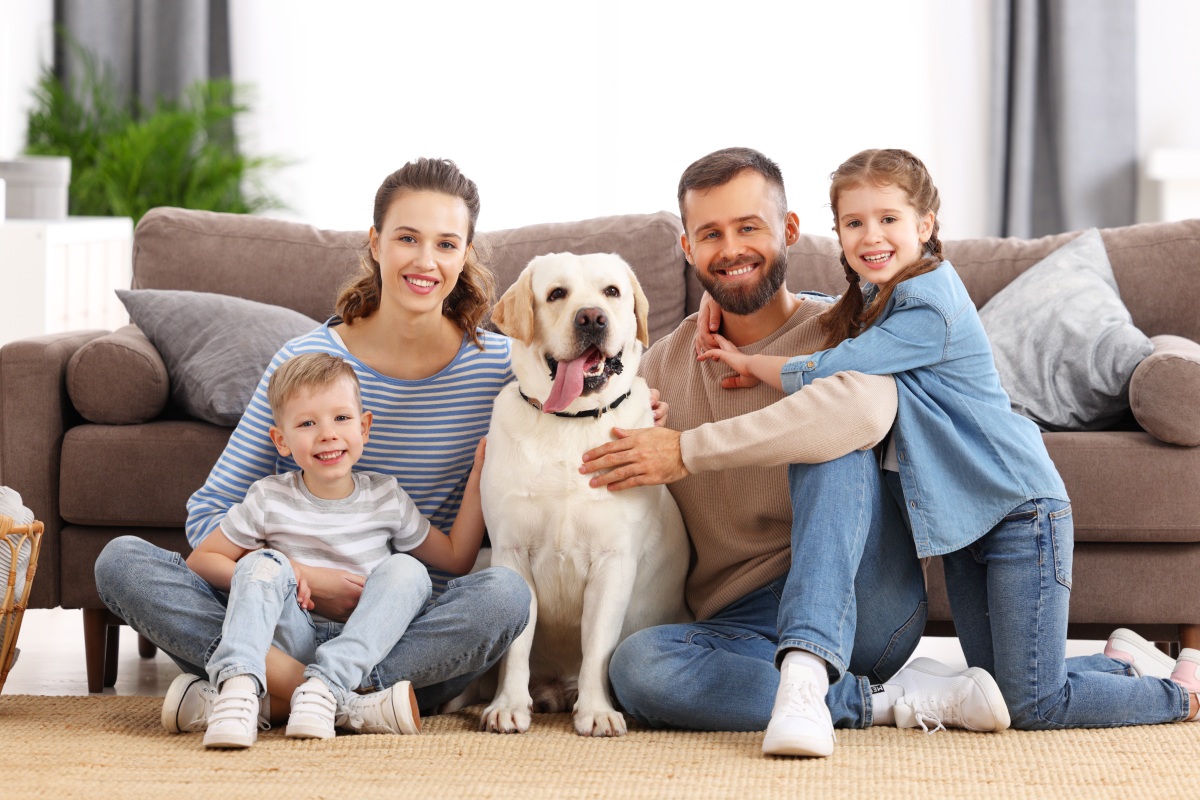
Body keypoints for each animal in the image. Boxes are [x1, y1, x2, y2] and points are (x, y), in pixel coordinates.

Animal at [475, 253, 686, 734]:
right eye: (557, 294)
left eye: (612, 292)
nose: (592, 318)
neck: (570, 421)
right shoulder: (511, 551)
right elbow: (516, 646)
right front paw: (508, 705)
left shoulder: (613, 561)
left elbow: (597, 648)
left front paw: (596, 711)